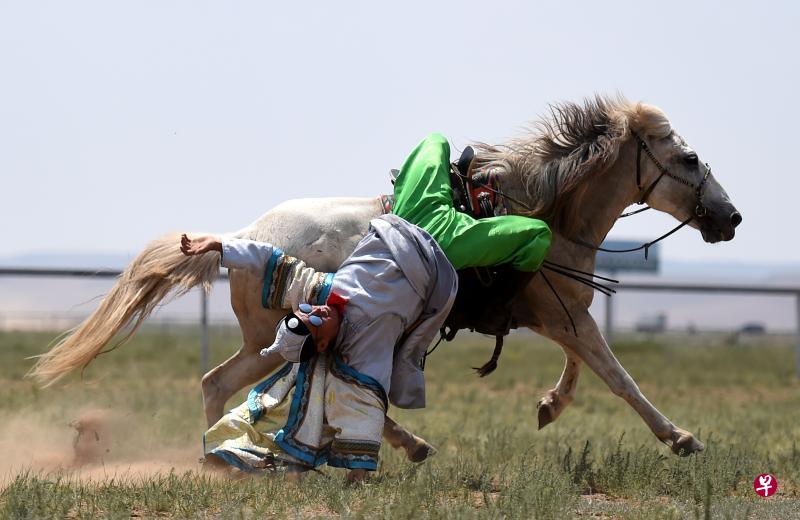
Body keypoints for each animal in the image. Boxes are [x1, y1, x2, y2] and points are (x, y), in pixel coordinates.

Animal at [30, 96, 741, 460]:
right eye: (688, 158)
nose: (730, 218)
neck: (546, 207)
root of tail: (242, 236)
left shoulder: (555, 315)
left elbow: (583, 365)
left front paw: (548, 407)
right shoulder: (560, 313)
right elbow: (615, 374)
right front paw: (680, 437)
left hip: (268, 335)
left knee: (223, 379)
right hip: (288, 329)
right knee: (230, 381)